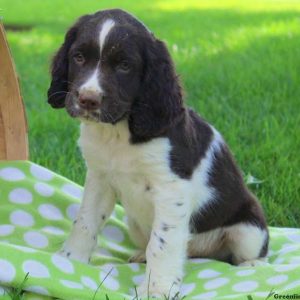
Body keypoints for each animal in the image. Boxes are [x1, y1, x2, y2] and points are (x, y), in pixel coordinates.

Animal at [47, 8, 270, 298]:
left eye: (124, 66)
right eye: (79, 57)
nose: (87, 99)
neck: (118, 132)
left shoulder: (170, 189)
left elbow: (162, 243)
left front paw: (157, 288)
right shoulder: (99, 178)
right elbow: (85, 221)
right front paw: (69, 261)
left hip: (248, 228)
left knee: (251, 252)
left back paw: (252, 266)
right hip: (134, 223)